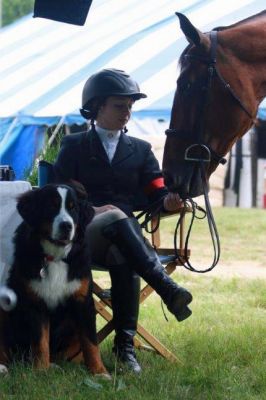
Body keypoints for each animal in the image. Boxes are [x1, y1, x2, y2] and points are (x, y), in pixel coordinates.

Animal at [0, 184, 109, 378]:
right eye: (51, 206)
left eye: (73, 208)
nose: (67, 225)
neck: (55, 257)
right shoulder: (35, 302)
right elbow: (41, 342)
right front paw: (41, 371)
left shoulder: (83, 303)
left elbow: (91, 342)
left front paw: (99, 372)